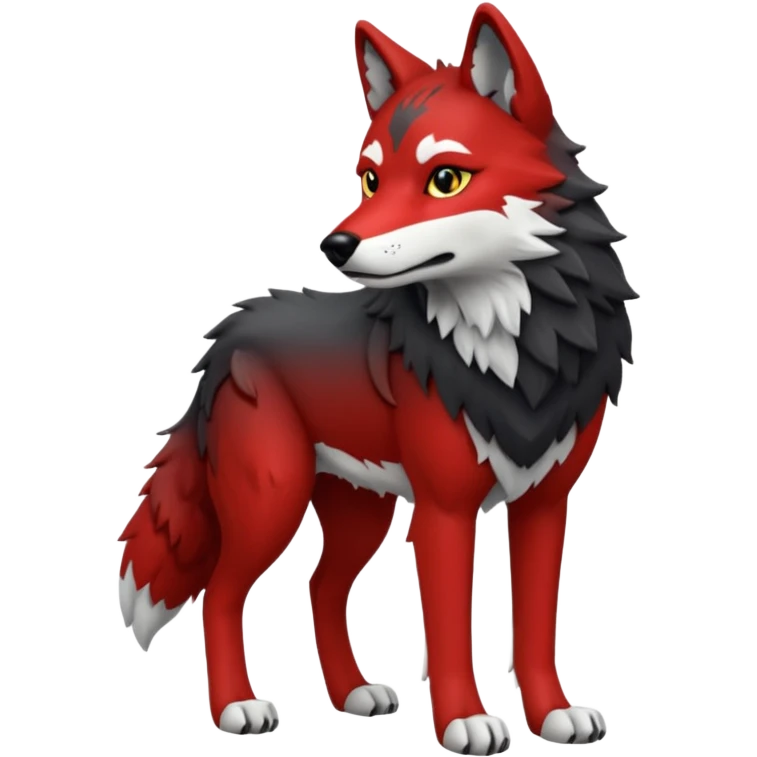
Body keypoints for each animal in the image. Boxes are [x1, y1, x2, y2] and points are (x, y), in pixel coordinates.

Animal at [117, 3, 636, 753]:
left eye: (445, 179)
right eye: (368, 179)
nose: (335, 244)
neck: (512, 352)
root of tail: (231, 333)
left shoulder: (545, 504)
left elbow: (535, 628)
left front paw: (552, 715)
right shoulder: (444, 512)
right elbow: (448, 632)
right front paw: (464, 720)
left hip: (362, 510)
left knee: (319, 588)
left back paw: (352, 694)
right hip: (272, 504)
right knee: (221, 593)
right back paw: (237, 707)